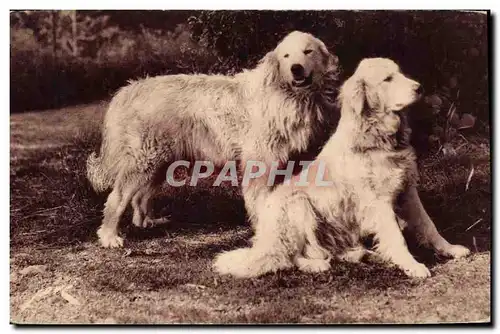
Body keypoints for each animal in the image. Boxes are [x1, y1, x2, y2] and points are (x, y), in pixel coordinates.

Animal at [88, 30, 342, 247]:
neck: (285, 94)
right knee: (118, 197)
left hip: (160, 162)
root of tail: (130, 89)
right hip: (145, 160)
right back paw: (109, 236)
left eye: (308, 51)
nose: (296, 69)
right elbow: (261, 201)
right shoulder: (260, 163)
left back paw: (146, 221)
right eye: (286, 56)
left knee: (140, 197)